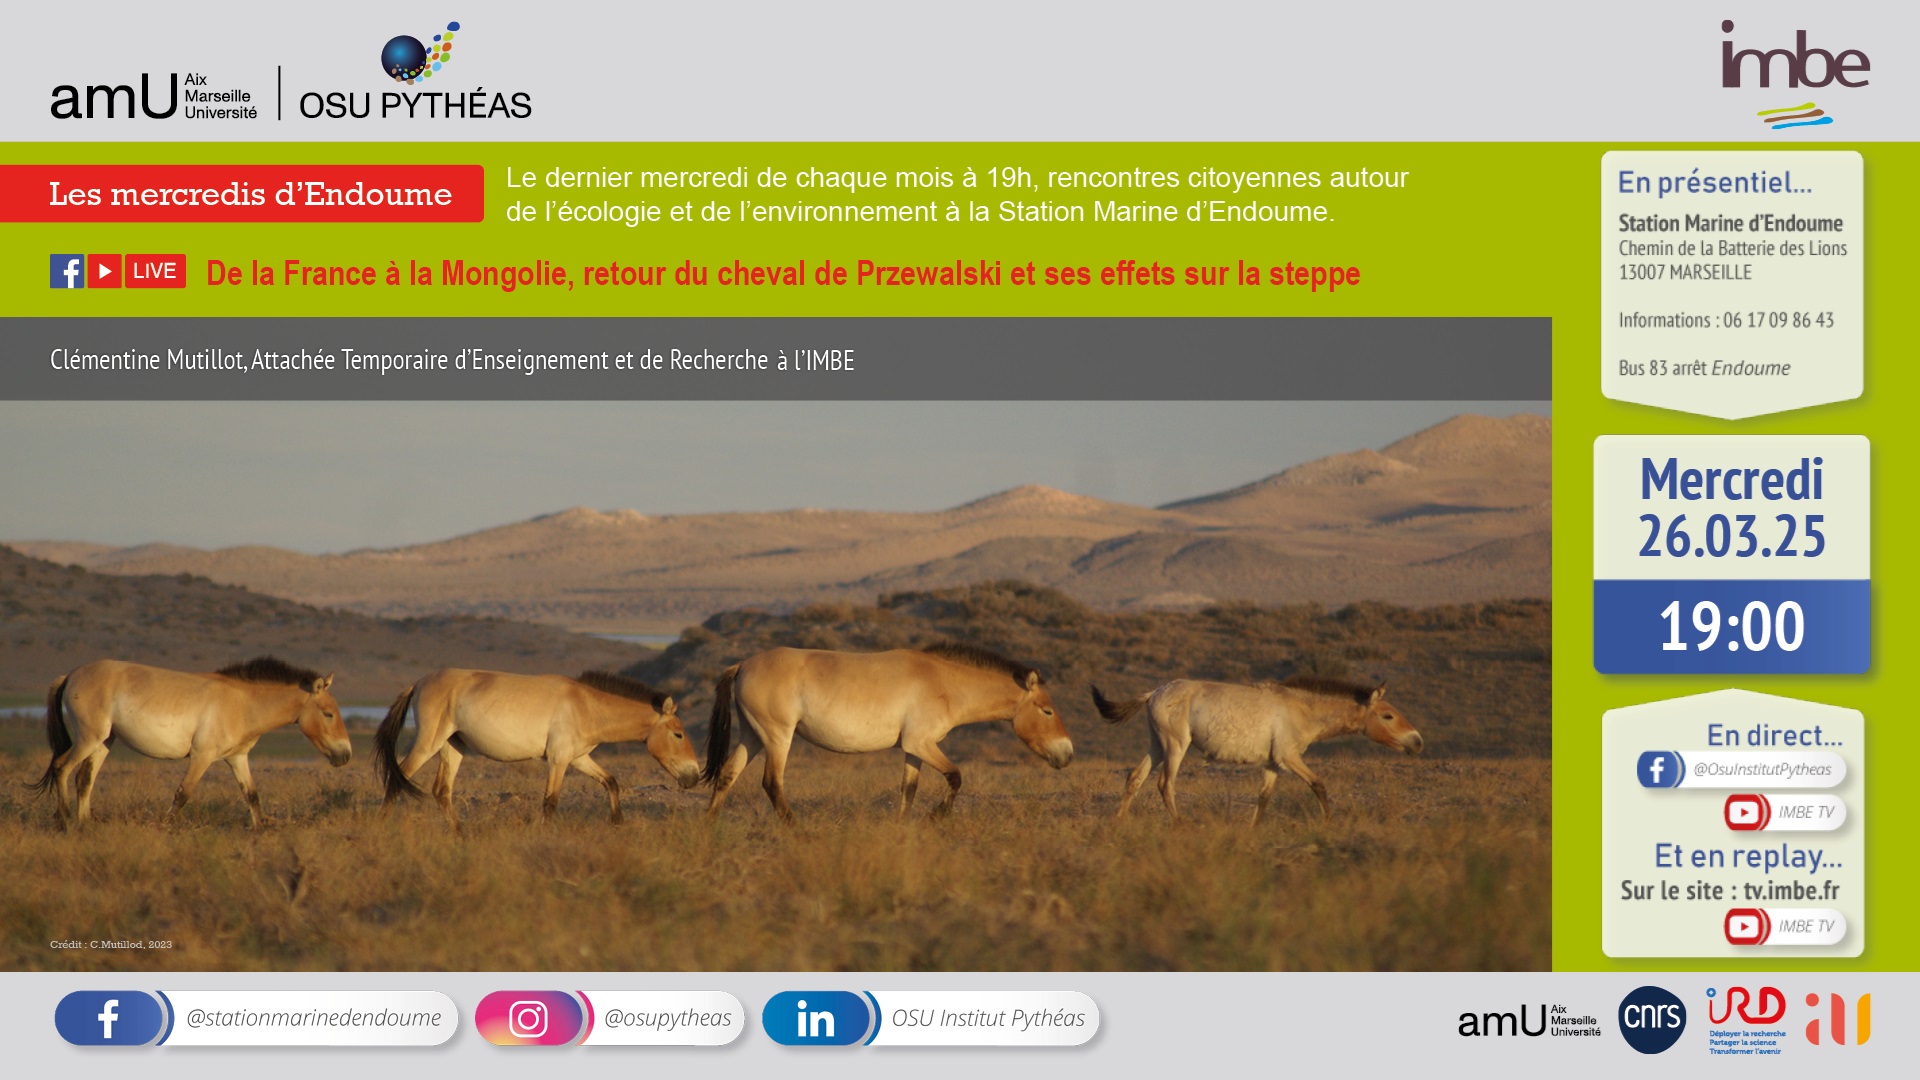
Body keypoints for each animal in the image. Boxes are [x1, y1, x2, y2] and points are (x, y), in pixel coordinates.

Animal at [31, 657, 351, 829]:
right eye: (328, 713)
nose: (345, 755)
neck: (241, 703)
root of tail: (70, 676)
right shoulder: (202, 757)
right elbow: (182, 794)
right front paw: (165, 826)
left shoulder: (237, 759)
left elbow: (252, 795)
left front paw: (260, 829)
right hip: (88, 739)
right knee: (62, 768)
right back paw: (64, 821)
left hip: (103, 742)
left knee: (84, 779)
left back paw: (85, 823)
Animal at [374, 669, 700, 827]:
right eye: (678, 734)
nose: (694, 776)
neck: (585, 705)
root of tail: (418, 683)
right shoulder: (558, 760)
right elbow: (550, 801)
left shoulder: (578, 758)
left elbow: (611, 782)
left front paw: (617, 822)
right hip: (427, 743)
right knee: (398, 778)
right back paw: (382, 827)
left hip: (452, 746)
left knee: (442, 791)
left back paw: (460, 834)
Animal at [702, 642, 1074, 822]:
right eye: (1047, 710)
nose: (1067, 754)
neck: (943, 683)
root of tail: (743, 665)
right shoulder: (921, 743)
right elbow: (956, 777)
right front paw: (937, 817)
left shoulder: (913, 749)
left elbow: (908, 790)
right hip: (778, 737)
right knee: (772, 785)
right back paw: (799, 833)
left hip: (753, 736)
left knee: (727, 776)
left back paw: (709, 827)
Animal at [1091, 674, 1424, 823]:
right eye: (1388, 715)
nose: (1417, 741)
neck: (1301, 708)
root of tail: (1154, 693)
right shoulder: (1289, 757)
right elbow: (1319, 784)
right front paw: (1329, 822)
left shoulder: (1273, 764)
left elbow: (1263, 799)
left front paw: (1251, 831)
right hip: (1175, 746)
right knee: (1165, 784)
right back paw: (1180, 825)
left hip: (1157, 745)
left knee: (1135, 778)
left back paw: (1118, 822)